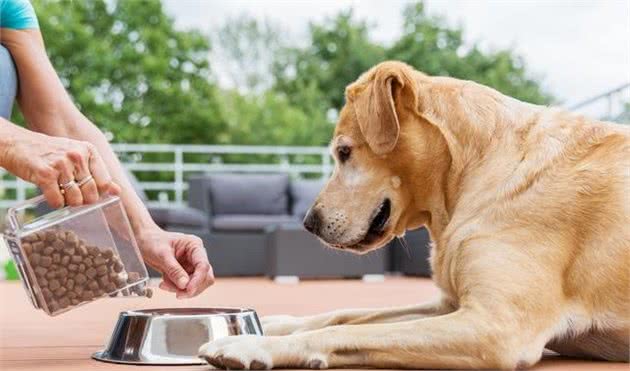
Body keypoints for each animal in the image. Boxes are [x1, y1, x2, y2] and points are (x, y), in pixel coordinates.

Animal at [199, 61, 630, 370]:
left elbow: (346, 333)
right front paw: (274, 324)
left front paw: (253, 343)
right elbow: (344, 316)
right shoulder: (449, 305)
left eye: (344, 152)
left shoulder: (496, 326)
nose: (308, 223)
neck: (473, 172)